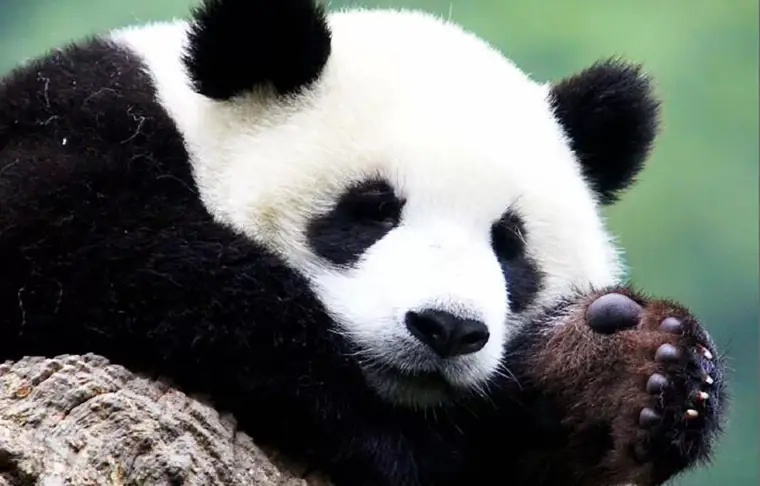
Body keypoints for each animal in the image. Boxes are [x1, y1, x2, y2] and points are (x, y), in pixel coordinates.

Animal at [0, 0, 726, 485]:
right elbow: (112, 252)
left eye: (508, 245)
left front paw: (637, 372)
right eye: (372, 210)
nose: (447, 328)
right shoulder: (71, 135)